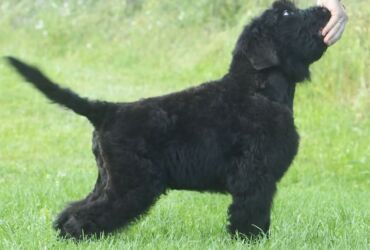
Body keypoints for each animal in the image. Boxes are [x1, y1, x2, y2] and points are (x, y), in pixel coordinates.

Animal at [6, 0, 330, 240]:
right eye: (286, 14)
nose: (324, 10)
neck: (257, 88)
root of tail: (107, 111)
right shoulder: (254, 175)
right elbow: (251, 213)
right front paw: (251, 240)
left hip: (109, 178)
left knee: (75, 208)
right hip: (132, 183)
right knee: (87, 215)